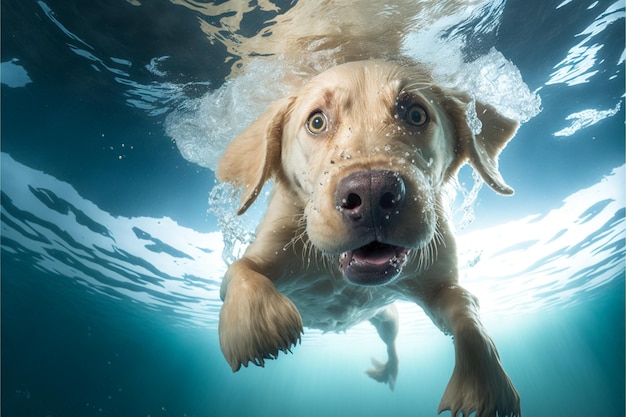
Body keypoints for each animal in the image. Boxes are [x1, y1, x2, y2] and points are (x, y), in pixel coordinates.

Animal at [217, 59, 520, 417]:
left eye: (416, 115)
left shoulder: (439, 284)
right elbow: (240, 270)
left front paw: (483, 382)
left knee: (390, 338)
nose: (372, 193)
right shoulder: (269, 247)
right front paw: (257, 327)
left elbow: (466, 310)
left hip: (387, 318)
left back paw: (388, 369)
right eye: (317, 122)